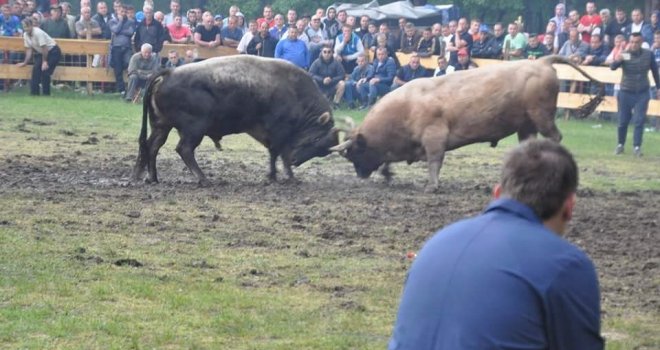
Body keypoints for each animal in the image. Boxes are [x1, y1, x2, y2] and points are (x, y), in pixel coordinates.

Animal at [133, 56, 340, 185]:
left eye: (322, 151)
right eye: (315, 139)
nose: (297, 161)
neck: (295, 92)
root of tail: (169, 72)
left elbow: (274, 154)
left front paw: (273, 176)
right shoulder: (280, 133)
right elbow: (279, 153)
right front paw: (288, 176)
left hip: (162, 126)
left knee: (152, 146)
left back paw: (153, 178)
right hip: (194, 130)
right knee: (184, 149)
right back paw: (204, 179)